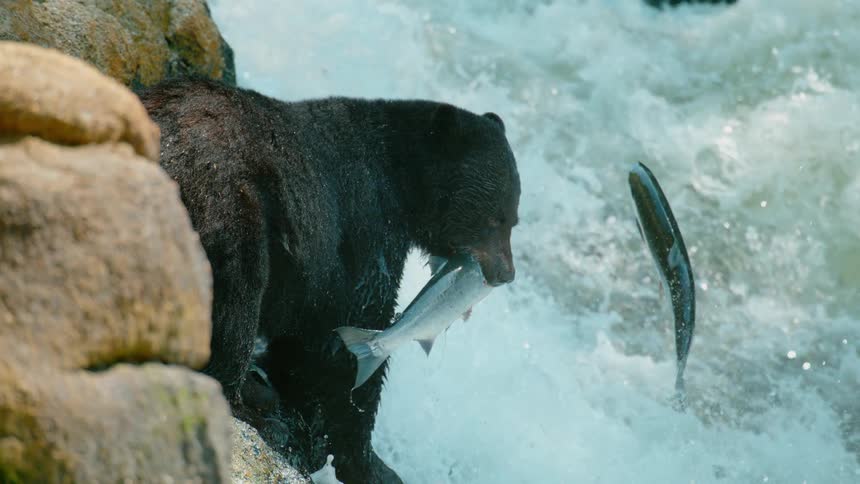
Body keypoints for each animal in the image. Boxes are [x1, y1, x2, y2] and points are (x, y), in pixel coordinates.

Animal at [139, 77, 520, 483]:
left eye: (514, 217)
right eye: (495, 218)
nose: (505, 273)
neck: (403, 186)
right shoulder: (366, 227)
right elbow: (350, 333)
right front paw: (370, 462)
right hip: (228, 207)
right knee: (237, 301)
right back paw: (249, 403)